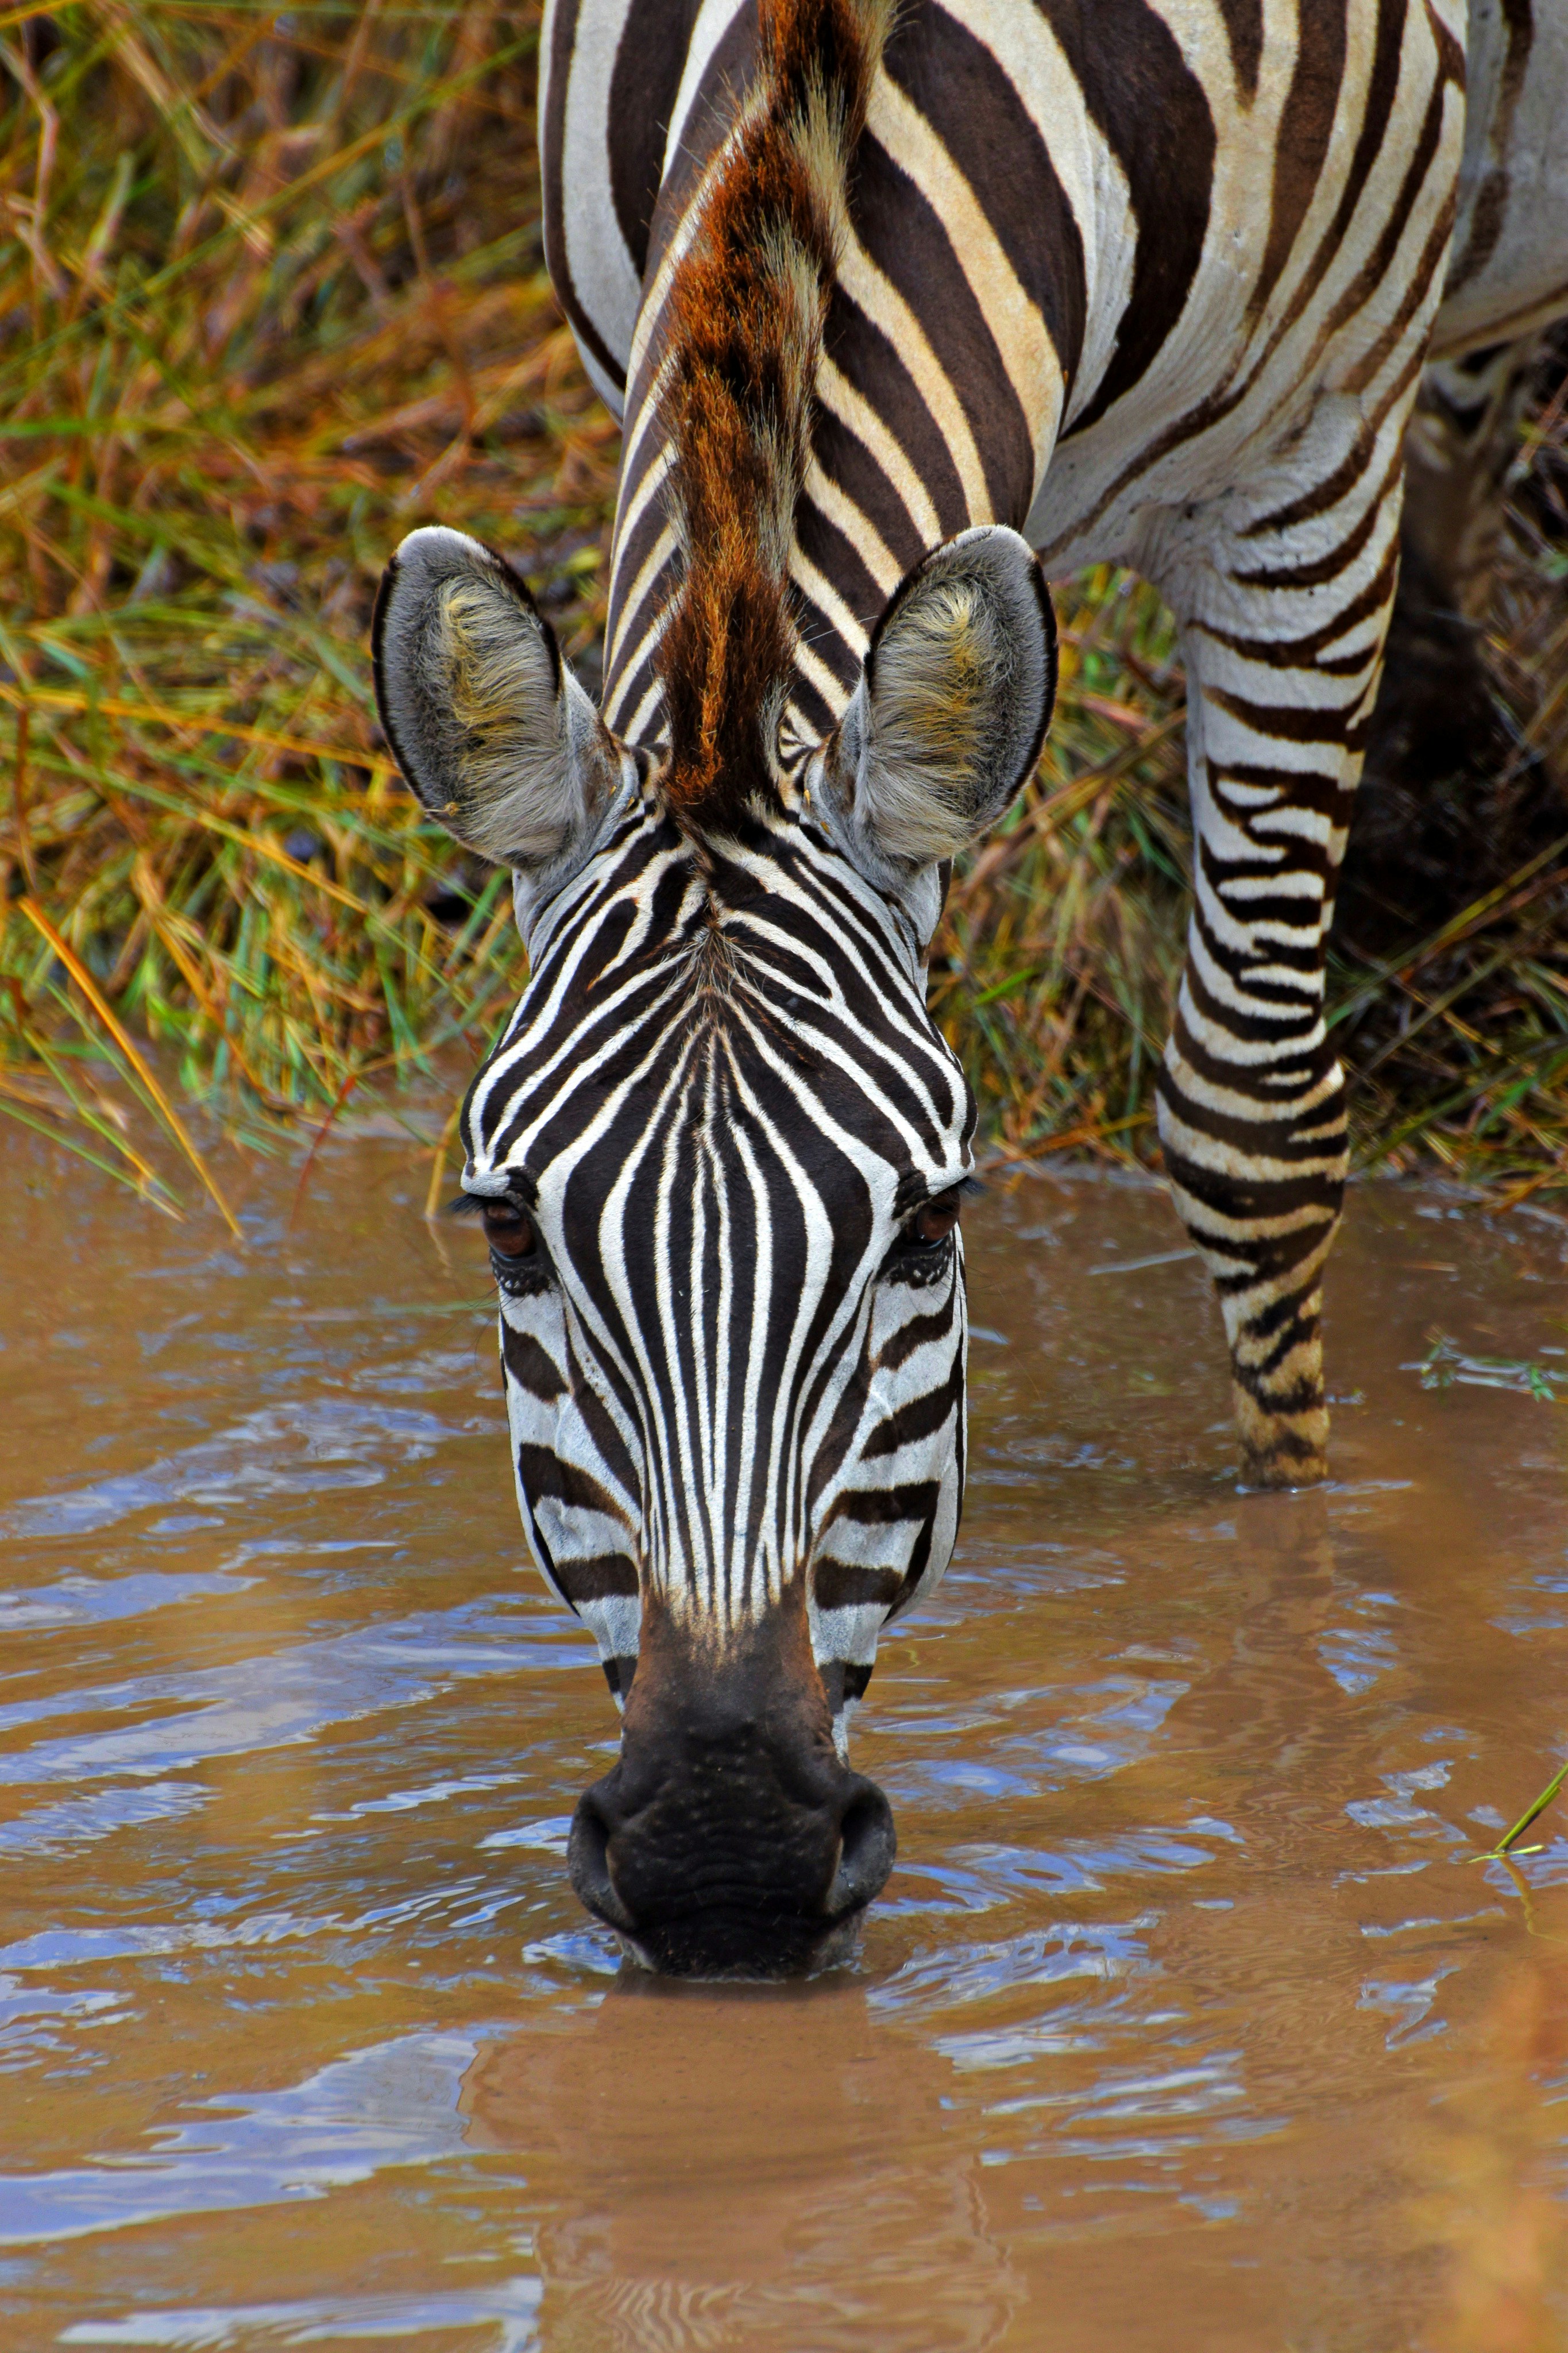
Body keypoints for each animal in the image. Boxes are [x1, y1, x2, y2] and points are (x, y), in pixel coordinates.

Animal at [371, 0, 1568, 1974]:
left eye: (931, 1229)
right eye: (508, 1235)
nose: (721, 1865)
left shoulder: (1307, 477)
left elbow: (1248, 1120)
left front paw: (1301, 1601)